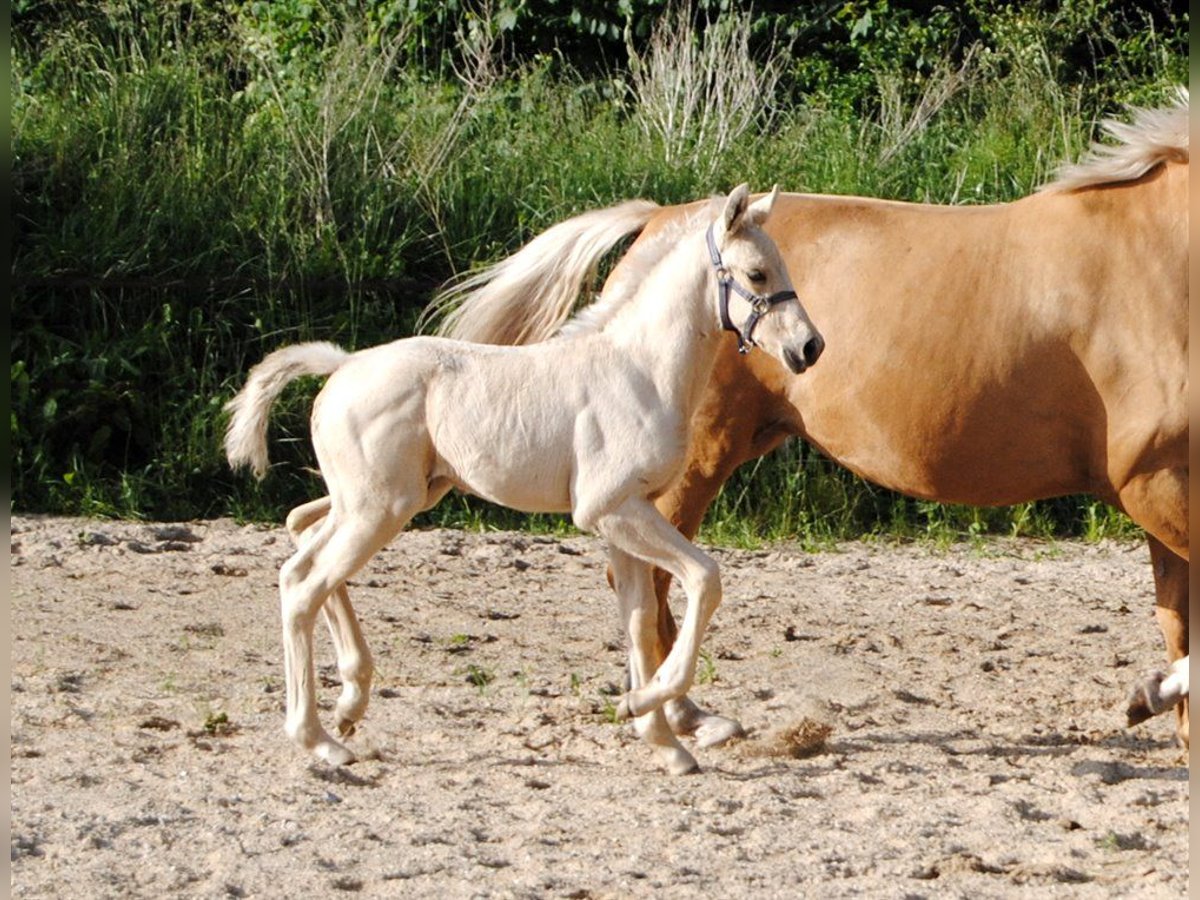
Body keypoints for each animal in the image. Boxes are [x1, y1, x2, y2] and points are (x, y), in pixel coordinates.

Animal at [225, 184, 825, 777]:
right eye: (756, 274)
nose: (809, 348)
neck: (639, 372)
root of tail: (342, 368)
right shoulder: (611, 510)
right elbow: (705, 579)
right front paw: (640, 704)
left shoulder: (626, 518)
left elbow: (638, 622)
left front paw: (663, 741)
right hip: (379, 509)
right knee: (304, 588)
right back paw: (320, 739)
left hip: (383, 501)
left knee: (299, 555)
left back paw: (349, 706)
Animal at [434, 93, 1190, 753]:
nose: (809, 346)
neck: (1160, 260)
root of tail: (660, 220)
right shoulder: (1155, 483)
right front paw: (1152, 697)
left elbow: (1176, 619)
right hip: (691, 461)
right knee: (653, 579)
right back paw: (680, 714)